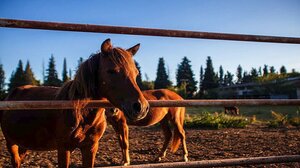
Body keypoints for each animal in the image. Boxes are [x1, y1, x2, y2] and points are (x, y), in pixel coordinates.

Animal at [0, 38, 149, 167]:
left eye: (136, 73)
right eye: (111, 71)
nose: (141, 107)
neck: (82, 113)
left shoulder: (90, 147)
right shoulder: (64, 148)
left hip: (24, 144)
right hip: (11, 144)